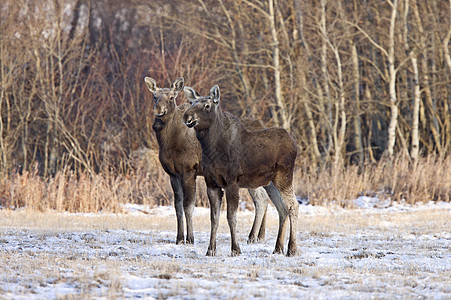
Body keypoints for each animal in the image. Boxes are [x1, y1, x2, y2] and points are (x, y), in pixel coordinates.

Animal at [144, 77, 268, 246]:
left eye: (171, 97)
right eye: (155, 97)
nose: (159, 111)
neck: (169, 142)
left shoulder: (189, 170)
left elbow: (188, 206)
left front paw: (190, 238)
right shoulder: (173, 174)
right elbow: (177, 206)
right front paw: (179, 238)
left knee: (261, 199)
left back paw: (252, 236)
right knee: (265, 198)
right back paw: (259, 235)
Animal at [184, 84, 300, 255]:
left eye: (207, 105)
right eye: (192, 102)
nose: (187, 116)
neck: (211, 149)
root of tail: (294, 143)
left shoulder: (232, 182)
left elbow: (231, 217)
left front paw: (235, 249)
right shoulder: (211, 184)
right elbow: (214, 218)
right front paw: (211, 250)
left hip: (284, 177)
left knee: (293, 206)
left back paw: (292, 249)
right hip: (270, 183)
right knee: (282, 208)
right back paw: (278, 248)